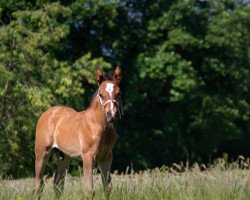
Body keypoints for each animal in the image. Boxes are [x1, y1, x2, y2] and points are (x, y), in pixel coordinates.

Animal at [33, 67, 123, 198]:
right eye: (101, 94)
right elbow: (89, 190)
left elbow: (107, 188)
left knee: (58, 184)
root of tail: (48, 113)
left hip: (64, 157)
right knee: (38, 185)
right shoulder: (88, 157)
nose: (112, 115)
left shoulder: (106, 157)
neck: (98, 126)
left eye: (118, 93)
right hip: (42, 153)